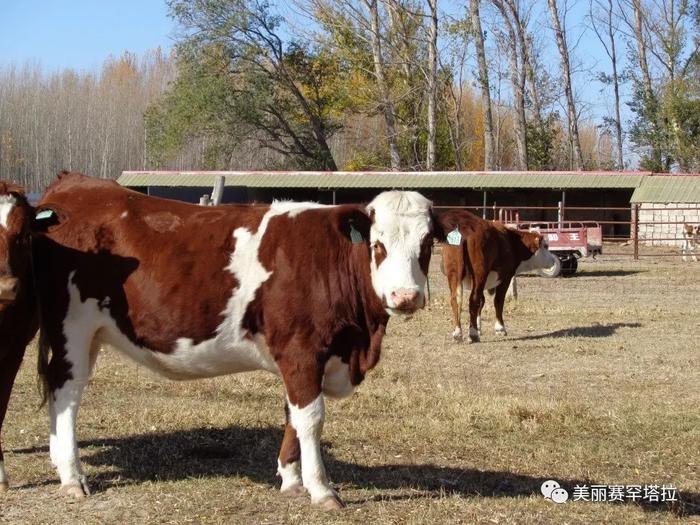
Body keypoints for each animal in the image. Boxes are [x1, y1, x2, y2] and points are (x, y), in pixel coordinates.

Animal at [32, 172, 440, 508]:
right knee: (66, 390)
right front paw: (322, 490)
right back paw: (72, 476)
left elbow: (292, 414)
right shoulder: (303, 351)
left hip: (92, 334)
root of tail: (73, 184)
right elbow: (311, 418)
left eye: (427, 244)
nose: (405, 296)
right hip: (72, 327)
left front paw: (292, 480)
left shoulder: (298, 357)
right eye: (377, 244)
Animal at [438, 209, 556, 344]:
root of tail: (464, 226)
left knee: (456, 299)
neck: (512, 242)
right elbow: (498, 301)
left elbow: (481, 301)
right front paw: (500, 328)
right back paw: (473, 334)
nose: (553, 260)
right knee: (473, 299)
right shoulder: (506, 276)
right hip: (479, 273)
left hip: (454, 272)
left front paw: (479, 327)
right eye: (546, 246)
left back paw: (458, 332)